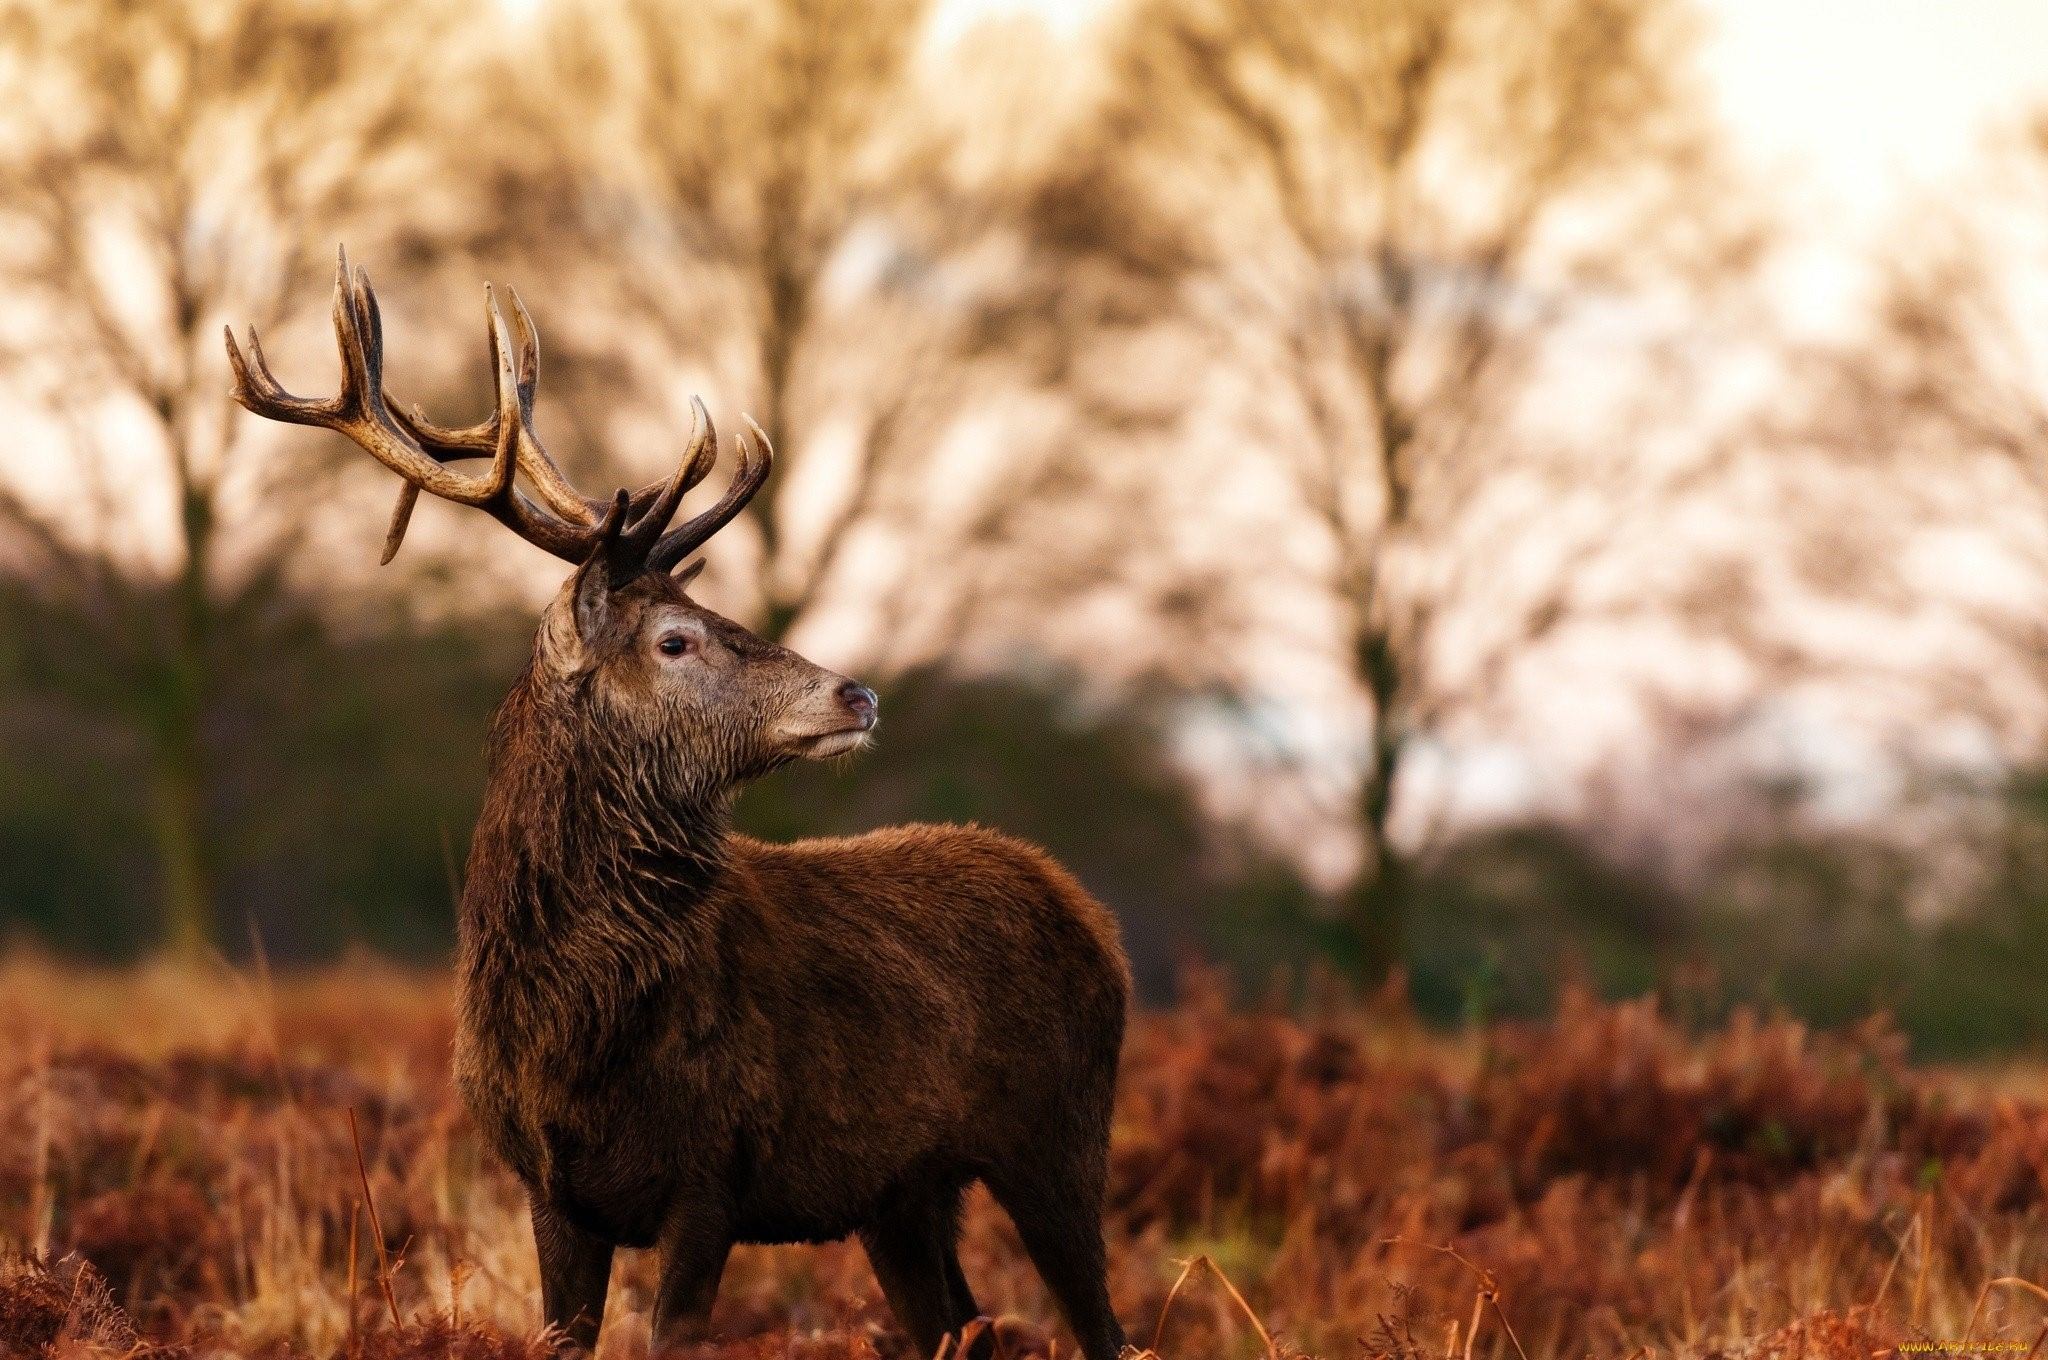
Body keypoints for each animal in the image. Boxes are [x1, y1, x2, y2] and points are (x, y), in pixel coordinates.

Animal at [228, 251, 1138, 1360]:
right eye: (675, 638)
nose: (857, 693)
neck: (576, 1038)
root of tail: (1090, 916)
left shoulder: (716, 1173)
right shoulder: (549, 1187)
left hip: (1059, 1137)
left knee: (1103, 1327)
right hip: (905, 1192)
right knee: (959, 1322)